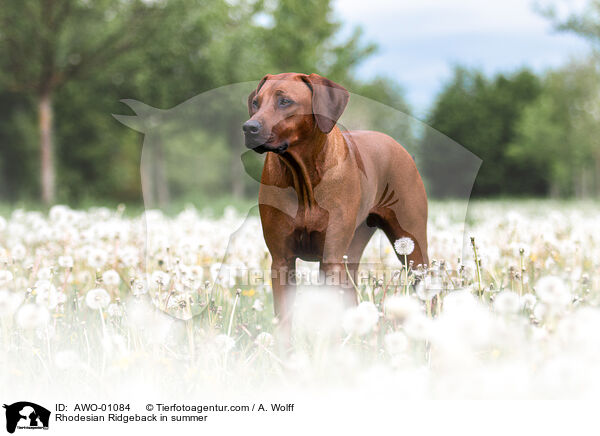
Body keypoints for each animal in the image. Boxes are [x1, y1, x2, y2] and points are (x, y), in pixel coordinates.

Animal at [241, 70, 428, 338]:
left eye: (285, 101)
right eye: (256, 103)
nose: (249, 127)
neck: (303, 178)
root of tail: (396, 144)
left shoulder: (330, 259)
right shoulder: (282, 260)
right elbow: (285, 322)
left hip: (412, 248)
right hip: (351, 255)